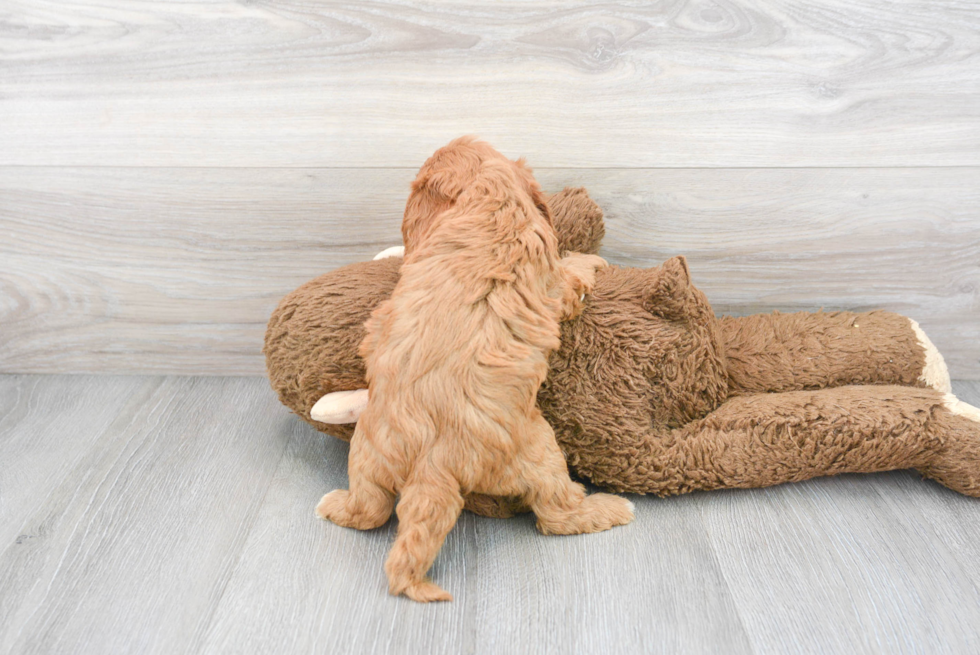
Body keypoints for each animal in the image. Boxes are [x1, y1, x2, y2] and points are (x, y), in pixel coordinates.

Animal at [314, 140, 636, 604]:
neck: (489, 197)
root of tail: (433, 461)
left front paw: (391, 251)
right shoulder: (552, 274)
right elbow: (572, 271)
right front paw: (591, 259)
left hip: (366, 454)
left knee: (370, 510)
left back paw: (333, 505)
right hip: (541, 452)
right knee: (556, 513)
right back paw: (611, 507)